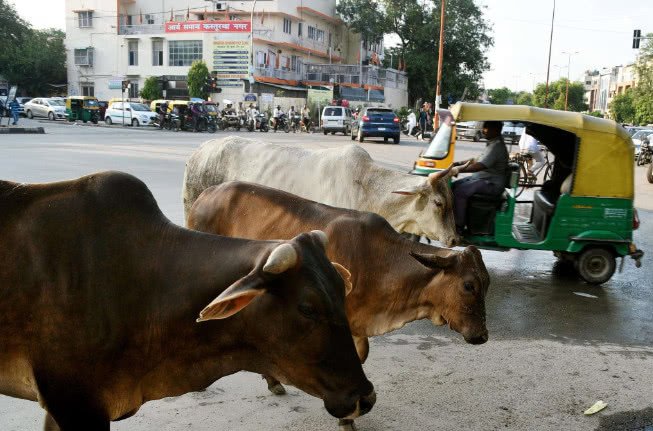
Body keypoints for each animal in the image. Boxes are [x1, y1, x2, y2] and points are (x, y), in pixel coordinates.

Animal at [187, 183, 488, 431]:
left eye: (486, 284)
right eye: (468, 285)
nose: (482, 336)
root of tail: (207, 193)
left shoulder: (356, 327)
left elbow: (360, 357)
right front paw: (346, 418)